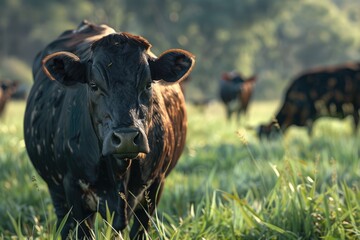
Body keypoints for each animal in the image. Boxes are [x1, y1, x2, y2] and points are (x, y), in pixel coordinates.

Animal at [23, 21, 195, 240]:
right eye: (94, 85)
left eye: (148, 84)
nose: (126, 137)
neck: (120, 171)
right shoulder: (73, 189)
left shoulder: (155, 185)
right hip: (57, 191)